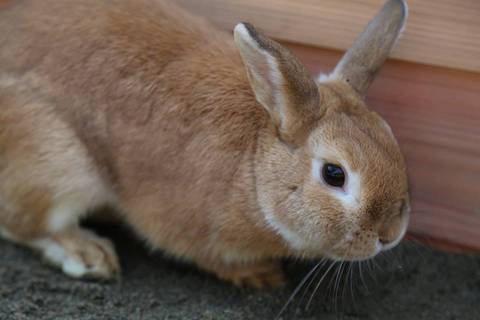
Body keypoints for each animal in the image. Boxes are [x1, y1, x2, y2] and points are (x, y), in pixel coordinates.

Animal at [0, 0, 408, 286]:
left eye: (389, 136)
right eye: (334, 174)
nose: (390, 235)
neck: (254, 167)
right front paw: (259, 275)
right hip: (60, 163)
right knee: (23, 223)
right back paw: (90, 254)